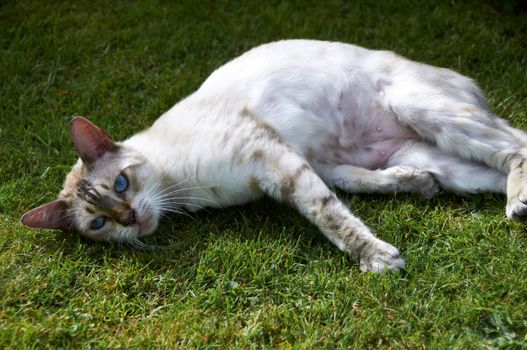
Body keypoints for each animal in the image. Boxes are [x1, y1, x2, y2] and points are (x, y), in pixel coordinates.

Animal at [20, 39, 527, 272]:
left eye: (122, 184)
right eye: (97, 223)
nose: (129, 219)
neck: (184, 195)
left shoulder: (274, 159)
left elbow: (330, 217)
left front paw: (378, 261)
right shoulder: (314, 164)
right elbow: (353, 187)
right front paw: (416, 188)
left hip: (425, 112)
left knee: (517, 144)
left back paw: (517, 203)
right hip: (444, 159)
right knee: (491, 168)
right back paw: (508, 202)